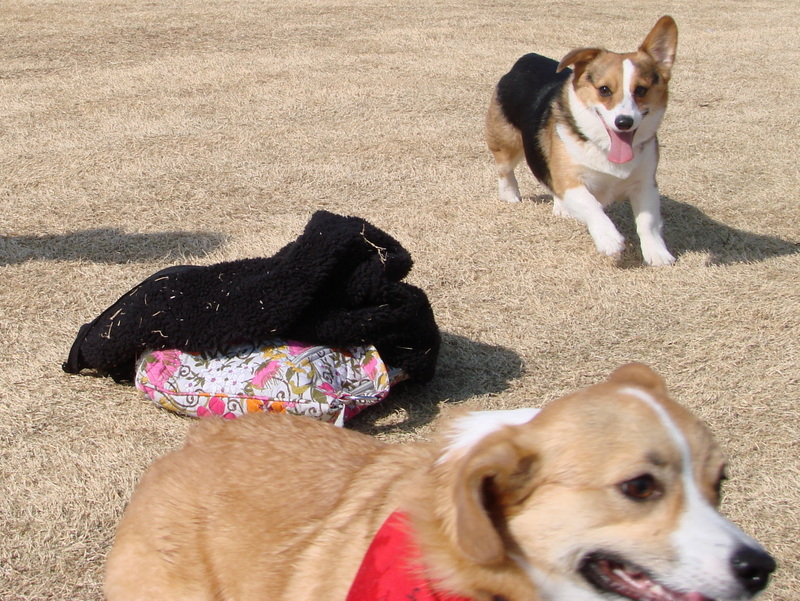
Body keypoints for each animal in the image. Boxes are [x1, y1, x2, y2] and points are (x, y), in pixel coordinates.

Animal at [484, 17, 680, 264]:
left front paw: (657, 253)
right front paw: (609, 239)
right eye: (604, 90)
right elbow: (591, 205)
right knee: (505, 170)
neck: (604, 146)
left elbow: (648, 221)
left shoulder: (645, 184)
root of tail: (528, 58)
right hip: (508, 145)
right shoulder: (570, 179)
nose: (624, 122)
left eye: (641, 90)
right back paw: (510, 195)